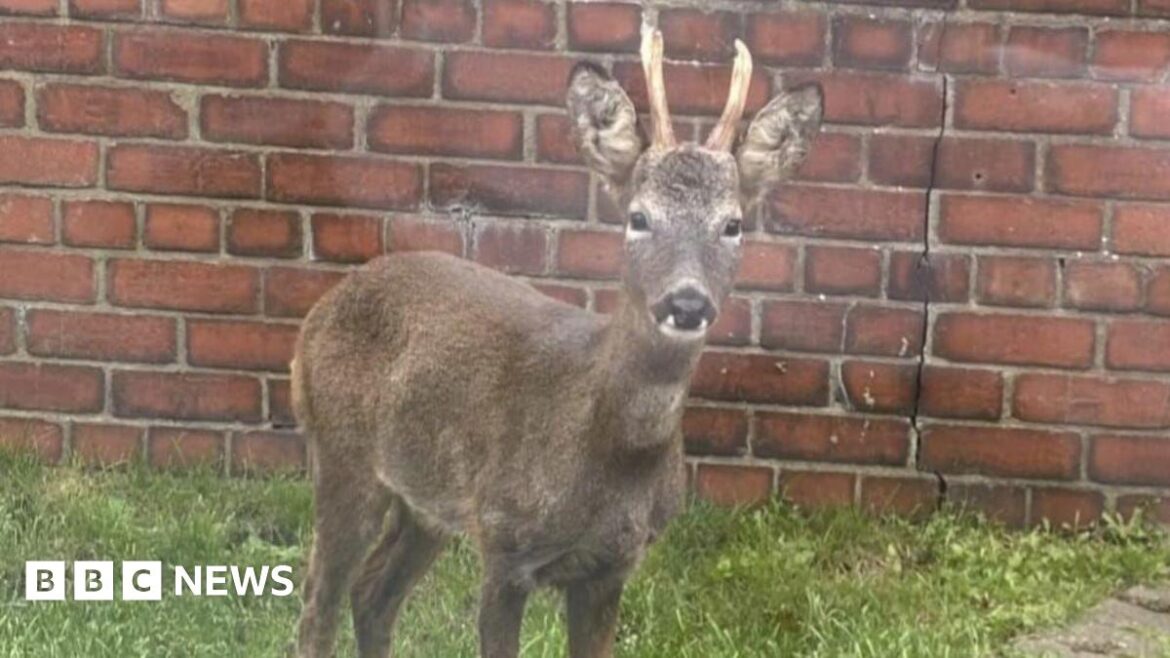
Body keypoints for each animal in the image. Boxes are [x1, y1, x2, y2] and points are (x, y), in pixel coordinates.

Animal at [290, 26, 823, 658]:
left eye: (733, 224)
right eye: (639, 217)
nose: (687, 303)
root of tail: (319, 312)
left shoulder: (612, 567)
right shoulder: (504, 543)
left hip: (424, 501)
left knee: (372, 594)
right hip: (341, 456)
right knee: (318, 605)